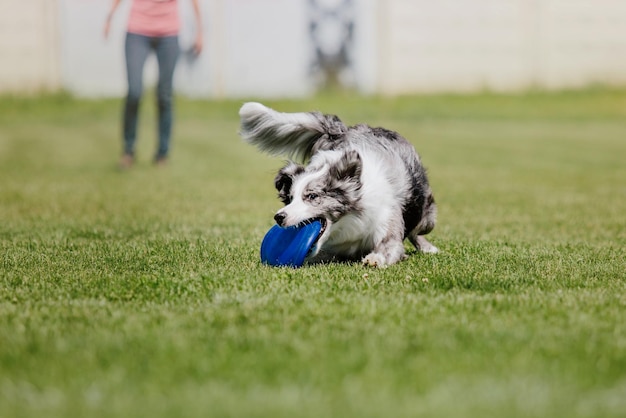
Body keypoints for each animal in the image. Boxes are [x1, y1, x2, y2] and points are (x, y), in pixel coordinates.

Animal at [236, 102, 436, 268]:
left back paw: (427, 248)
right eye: (290, 199)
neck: (349, 222)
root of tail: (340, 130)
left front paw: (375, 258)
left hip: (426, 216)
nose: (279, 217)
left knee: (417, 229)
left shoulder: (387, 221)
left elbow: (390, 245)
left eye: (312, 196)